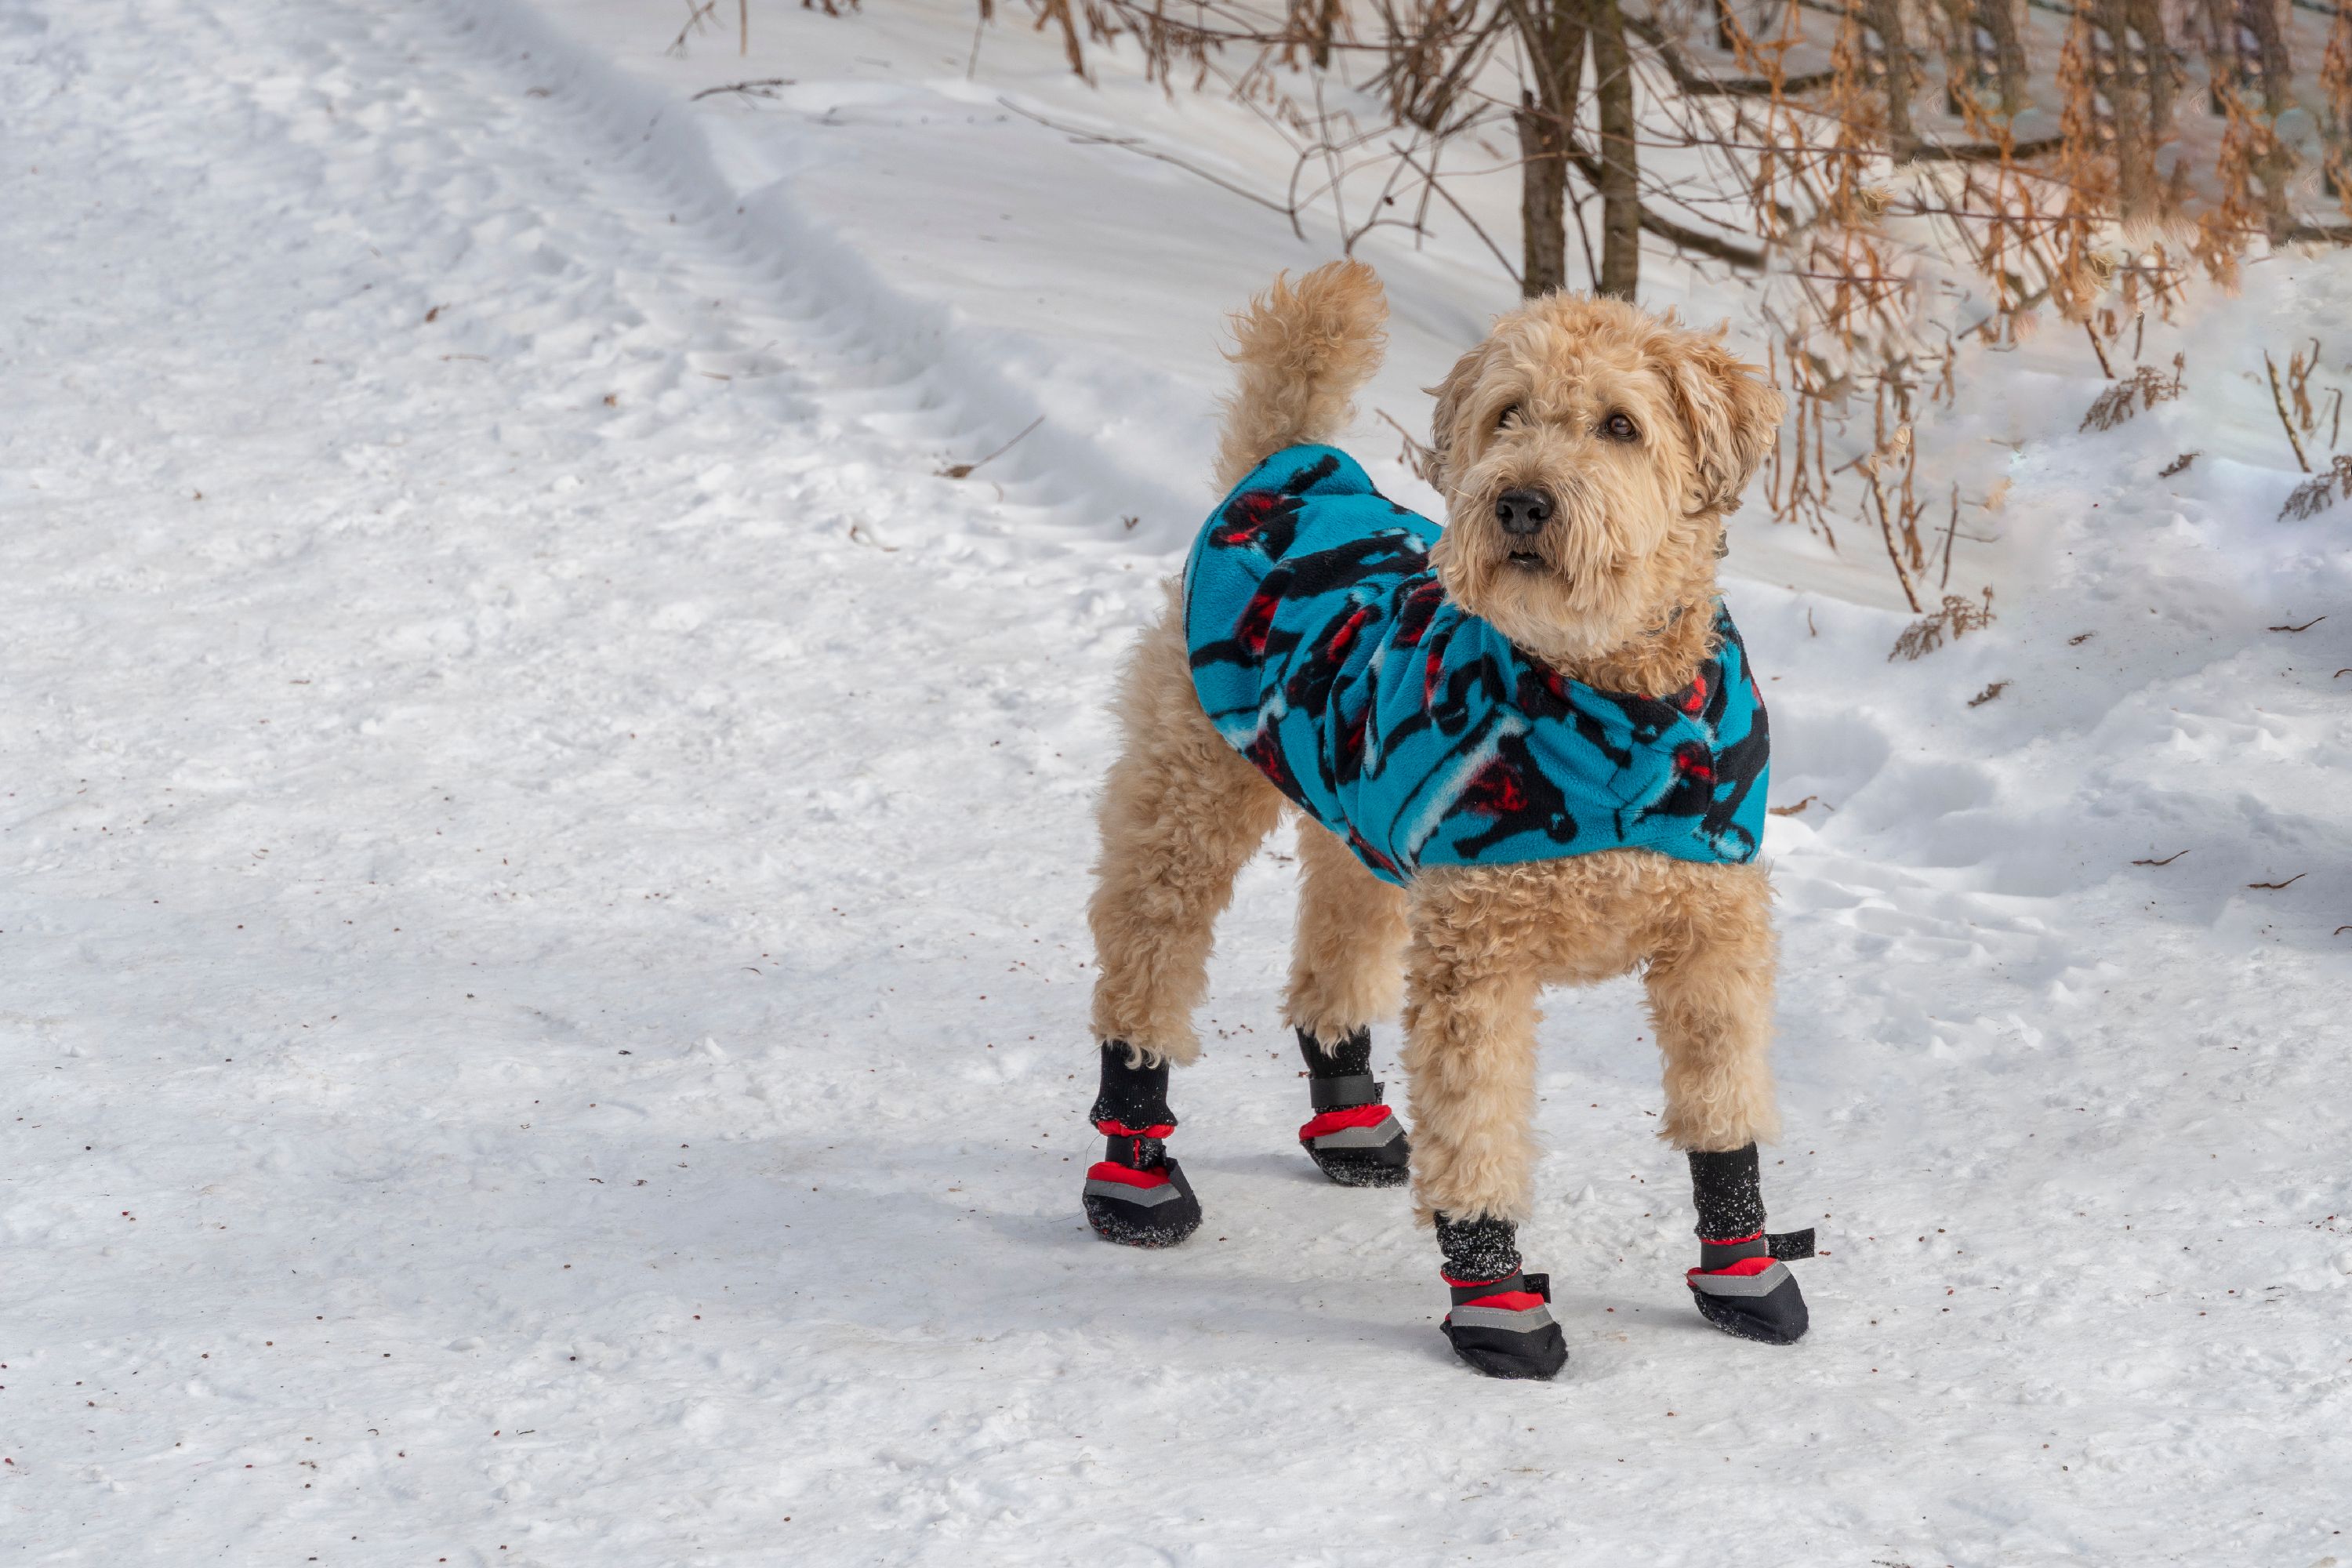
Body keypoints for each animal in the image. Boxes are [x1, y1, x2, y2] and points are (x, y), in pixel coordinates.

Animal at [1077, 263, 1806, 1382]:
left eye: (1621, 424)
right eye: (1508, 414)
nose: (1520, 501)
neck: (1609, 708)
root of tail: (1291, 467)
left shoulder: (1713, 936)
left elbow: (1724, 1105)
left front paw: (1744, 1268)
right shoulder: (1482, 959)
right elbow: (1478, 1128)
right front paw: (1497, 1300)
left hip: (1364, 834)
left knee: (1331, 962)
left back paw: (1352, 1117)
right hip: (1187, 797)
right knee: (1146, 961)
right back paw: (1135, 1166)